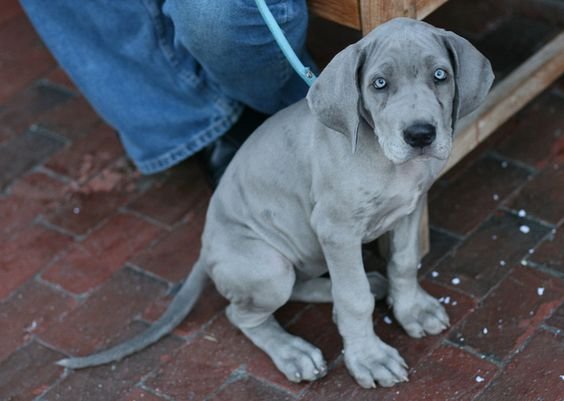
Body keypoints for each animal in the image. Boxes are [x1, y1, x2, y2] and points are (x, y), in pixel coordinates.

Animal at [58, 18, 494, 388]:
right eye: (379, 83)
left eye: (441, 76)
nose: (420, 135)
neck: (385, 160)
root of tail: (205, 248)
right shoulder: (336, 229)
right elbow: (353, 299)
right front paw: (369, 358)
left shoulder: (410, 206)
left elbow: (403, 262)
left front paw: (412, 311)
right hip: (268, 266)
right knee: (242, 313)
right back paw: (293, 352)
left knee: (311, 285)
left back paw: (366, 285)